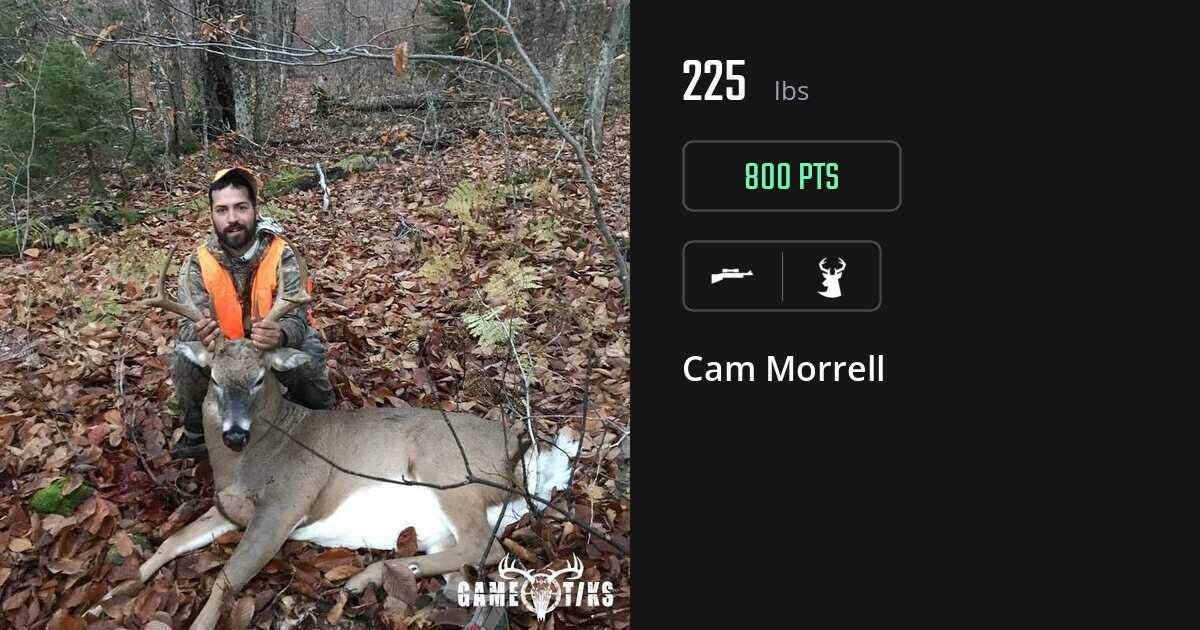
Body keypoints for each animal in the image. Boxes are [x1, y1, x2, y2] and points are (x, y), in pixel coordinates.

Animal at [88, 246, 578, 630]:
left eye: (260, 378)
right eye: (213, 378)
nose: (234, 433)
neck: (249, 463)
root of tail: (528, 450)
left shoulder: (287, 503)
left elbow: (227, 577)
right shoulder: (228, 507)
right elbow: (173, 541)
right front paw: (106, 600)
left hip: (450, 471)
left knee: (483, 546)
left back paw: (363, 578)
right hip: (443, 524)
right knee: (465, 568)